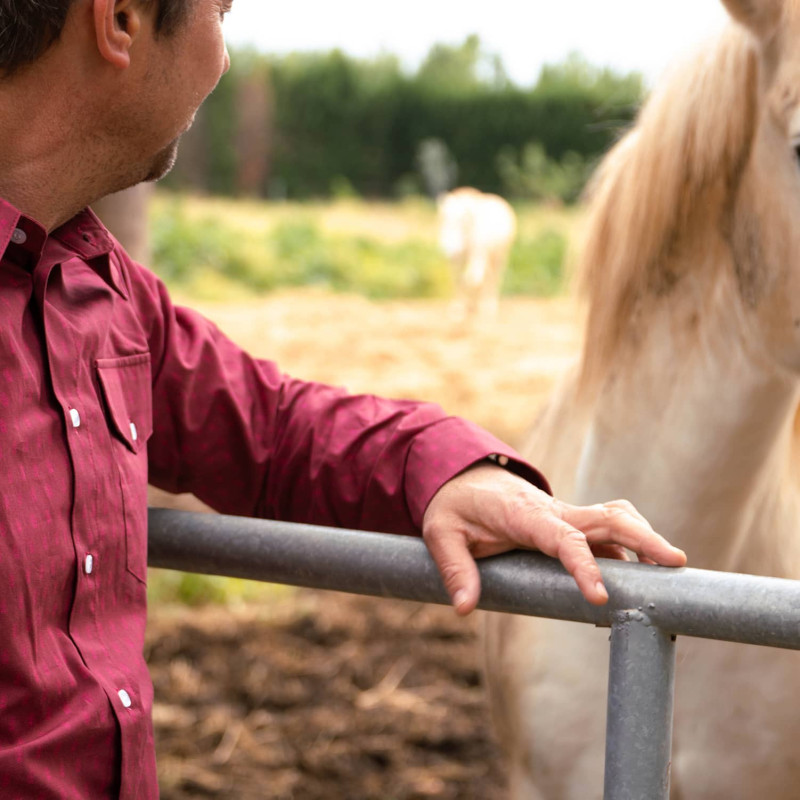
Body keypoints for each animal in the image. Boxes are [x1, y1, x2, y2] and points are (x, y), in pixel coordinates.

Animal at [434, 188, 516, 322]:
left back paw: (489, 306)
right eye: (442, 218)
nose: (448, 247)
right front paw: (457, 310)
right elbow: (459, 281)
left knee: (494, 278)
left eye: (462, 221)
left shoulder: (477, 256)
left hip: (500, 257)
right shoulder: (457, 261)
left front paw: (477, 309)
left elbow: (472, 280)